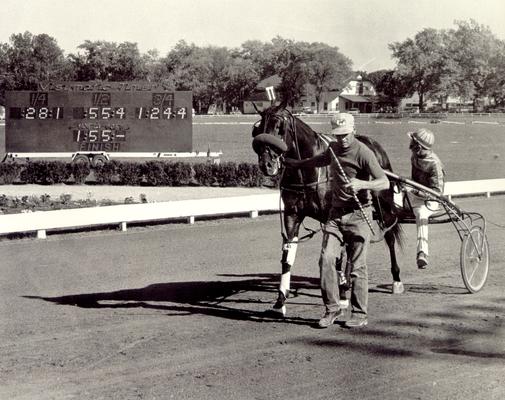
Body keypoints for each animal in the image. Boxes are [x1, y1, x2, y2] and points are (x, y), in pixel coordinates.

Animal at [252, 104, 406, 318]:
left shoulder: (330, 215)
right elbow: (287, 257)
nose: (267, 164)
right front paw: (280, 300)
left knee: (389, 236)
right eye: (258, 129)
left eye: (279, 127)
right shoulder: (292, 214)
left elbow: (337, 256)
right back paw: (347, 283)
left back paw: (395, 280)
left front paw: (340, 296)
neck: (306, 171)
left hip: (383, 204)